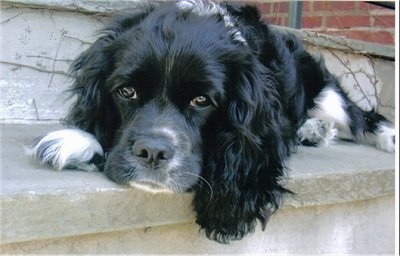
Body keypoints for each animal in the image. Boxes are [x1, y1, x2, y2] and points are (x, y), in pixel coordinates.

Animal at [27, 0, 394, 244]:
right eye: (126, 91)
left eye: (201, 100)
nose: (152, 152)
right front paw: (75, 139)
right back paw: (314, 131)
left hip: (327, 93)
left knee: (361, 117)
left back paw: (382, 136)